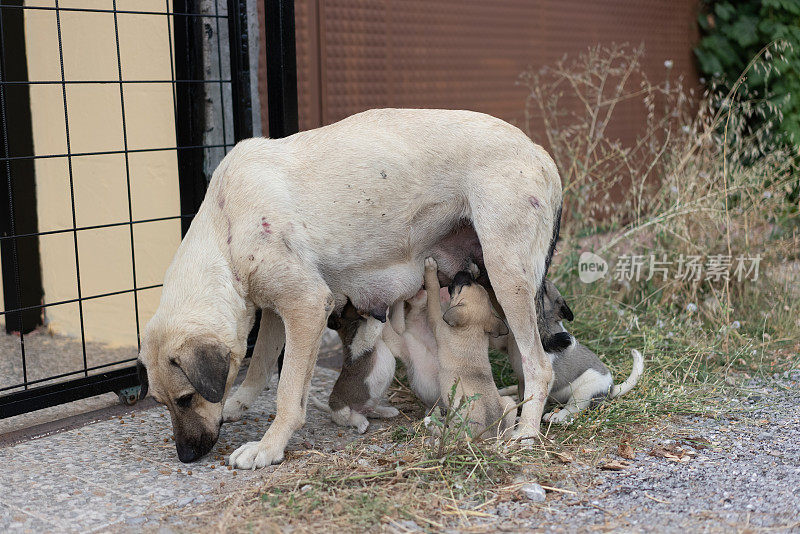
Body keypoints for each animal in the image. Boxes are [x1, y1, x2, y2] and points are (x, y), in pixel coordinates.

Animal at [136, 109, 564, 468]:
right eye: (161, 402)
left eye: (186, 398)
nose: (186, 456)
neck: (225, 232)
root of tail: (540, 153)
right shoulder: (274, 308)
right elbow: (258, 366)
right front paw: (237, 405)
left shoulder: (307, 306)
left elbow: (287, 392)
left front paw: (268, 447)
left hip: (507, 276)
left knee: (540, 365)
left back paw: (526, 433)